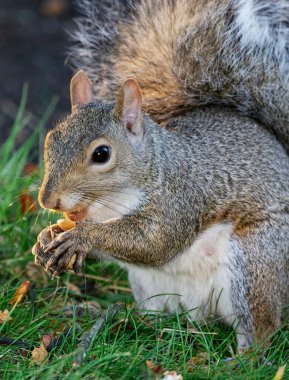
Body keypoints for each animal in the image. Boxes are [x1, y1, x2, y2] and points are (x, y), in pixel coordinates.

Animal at [32, 70, 286, 348]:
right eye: (51, 139)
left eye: (101, 154)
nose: (47, 200)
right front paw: (46, 237)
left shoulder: (178, 200)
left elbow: (156, 243)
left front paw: (81, 237)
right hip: (149, 286)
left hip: (254, 265)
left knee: (261, 328)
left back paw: (242, 355)